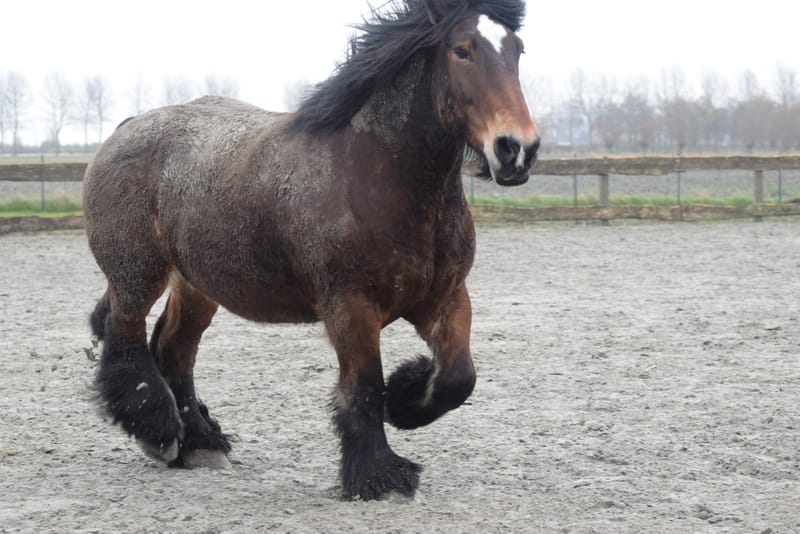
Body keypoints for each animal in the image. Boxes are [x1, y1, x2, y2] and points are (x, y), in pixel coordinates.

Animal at [83, 0, 539, 501]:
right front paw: (379, 476)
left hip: (197, 286)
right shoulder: (349, 306)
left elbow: (457, 377)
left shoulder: (446, 297)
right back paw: (159, 433)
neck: (380, 177)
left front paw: (405, 400)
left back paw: (200, 444)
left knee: (173, 349)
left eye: (518, 50)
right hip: (136, 272)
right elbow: (364, 386)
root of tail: (127, 127)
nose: (517, 149)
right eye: (462, 50)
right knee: (125, 336)